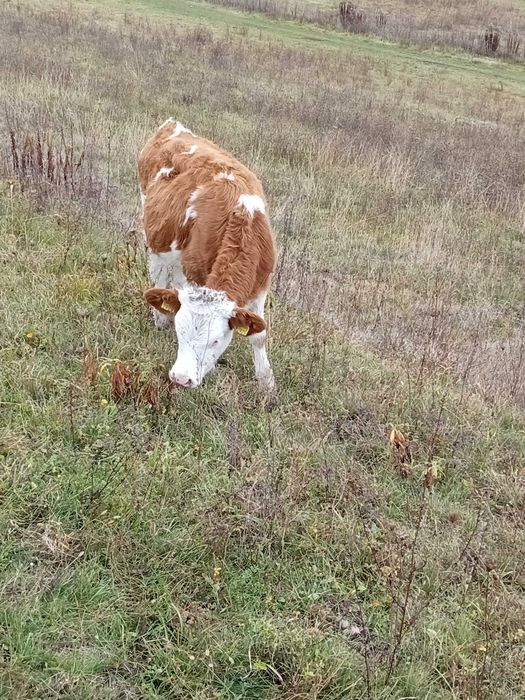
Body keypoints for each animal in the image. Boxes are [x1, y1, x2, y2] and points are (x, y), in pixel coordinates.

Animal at [138, 118, 277, 398]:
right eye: (180, 332)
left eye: (216, 339)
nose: (181, 378)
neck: (242, 215)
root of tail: (173, 125)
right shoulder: (193, 274)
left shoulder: (262, 284)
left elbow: (259, 335)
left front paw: (266, 382)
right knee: (159, 273)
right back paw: (160, 318)